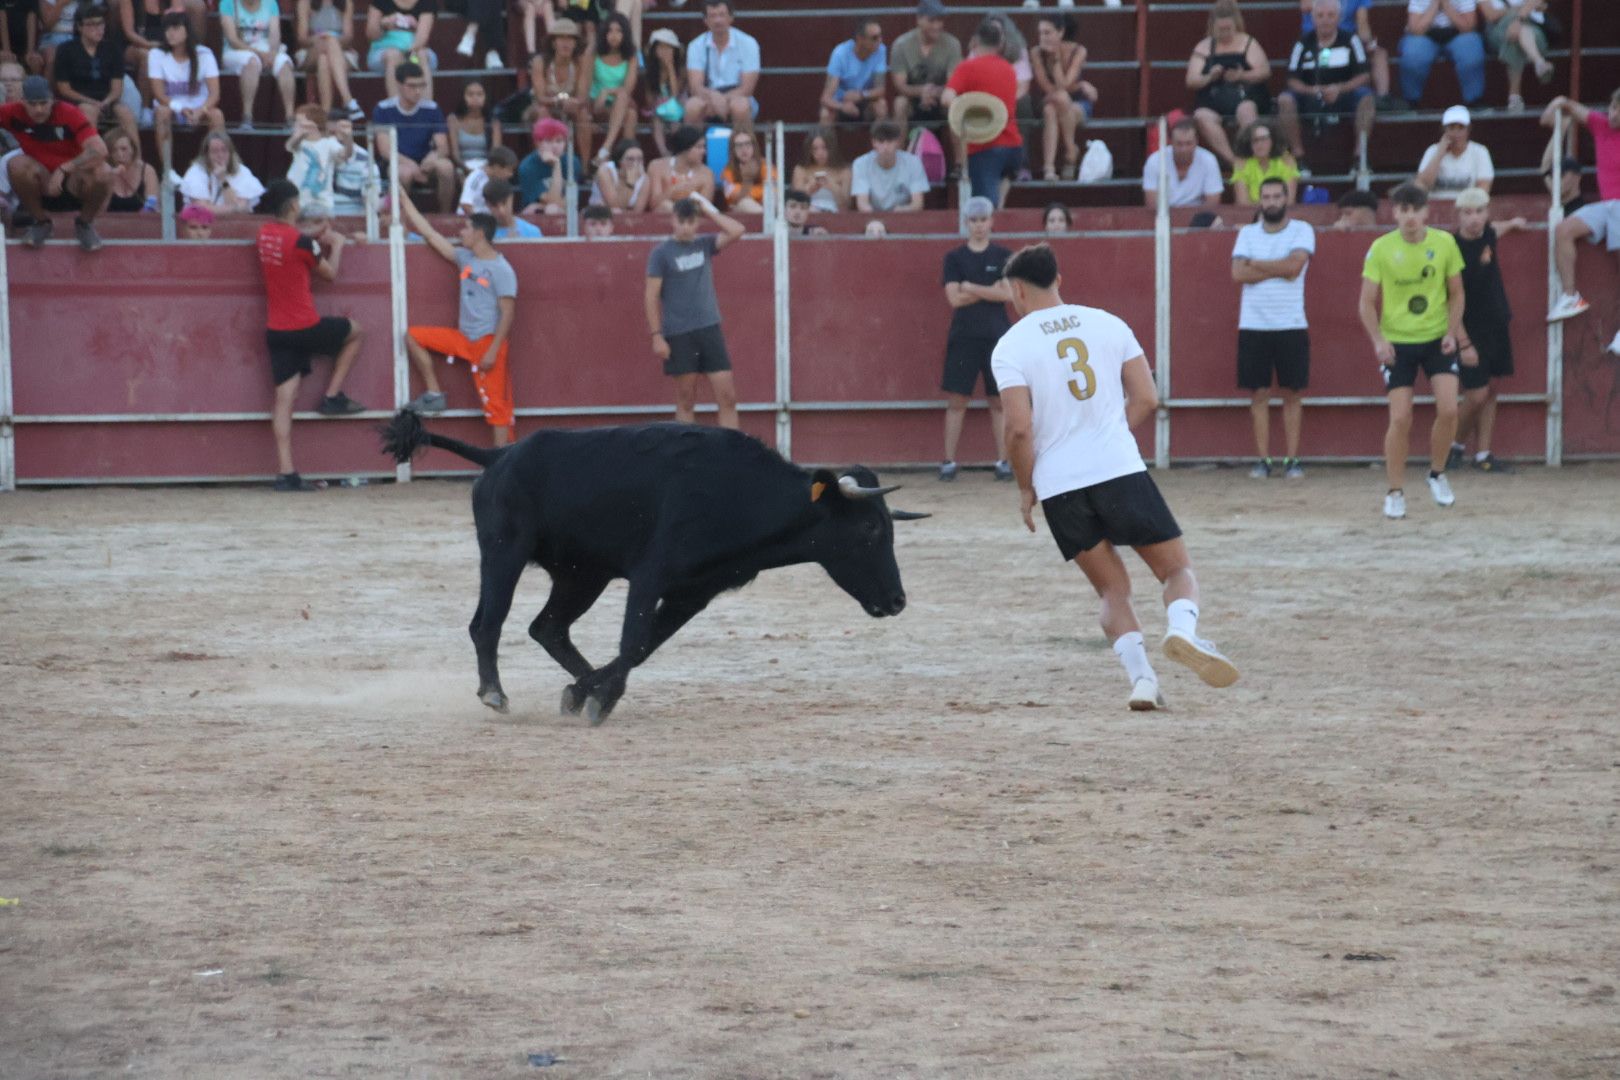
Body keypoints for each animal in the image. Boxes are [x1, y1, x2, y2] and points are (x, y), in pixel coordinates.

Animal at [377, 414, 926, 725]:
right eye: (869, 530)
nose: (898, 601)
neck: (741, 493)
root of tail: (501, 453)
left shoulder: (693, 593)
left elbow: (641, 648)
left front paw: (587, 695)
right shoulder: (650, 577)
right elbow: (632, 641)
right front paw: (599, 702)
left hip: (581, 575)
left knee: (547, 627)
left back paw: (571, 687)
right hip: (503, 552)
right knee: (488, 623)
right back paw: (494, 694)